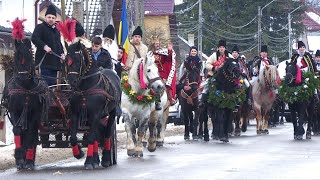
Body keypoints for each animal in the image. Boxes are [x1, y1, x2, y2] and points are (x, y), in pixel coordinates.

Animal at [1, 38, 48, 170]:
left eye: (29, 56)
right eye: (16, 56)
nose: (22, 78)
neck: (25, 87)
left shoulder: (35, 112)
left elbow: (30, 134)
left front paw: (28, 160)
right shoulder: (14, 110)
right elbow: (17, 130)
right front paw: (19, 159)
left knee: (32, 134)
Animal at [65, 40, 120, 169]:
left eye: (77, 60)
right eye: (66, 60)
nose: (72, 81)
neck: (86, 88)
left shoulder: (96, 114)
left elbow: (91, 138)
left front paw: (89, 161)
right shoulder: (76, 113)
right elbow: (73, 137)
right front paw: (79, 153)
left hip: (111, 112)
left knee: (107, 133)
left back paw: (105, 159)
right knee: (95, 134)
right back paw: (95, 159)